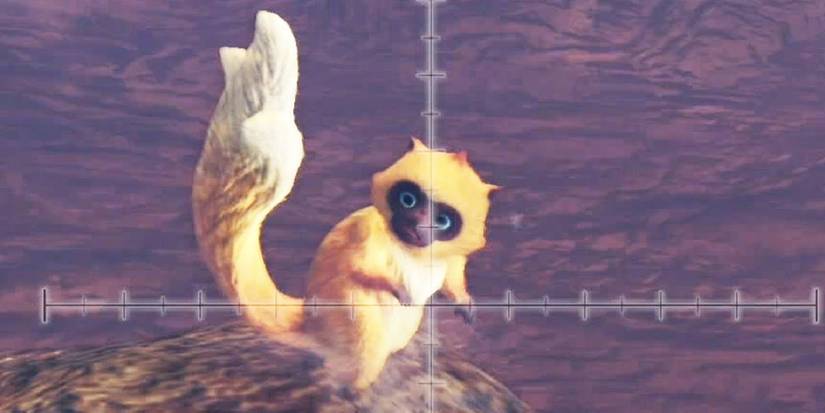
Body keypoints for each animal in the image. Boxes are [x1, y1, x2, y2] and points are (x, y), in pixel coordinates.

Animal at [192, 11, 497, 390]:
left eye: (441, 220)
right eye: (408, 200)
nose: (417, 225)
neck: (411, 251)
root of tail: (310, 323)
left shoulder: (449, 258)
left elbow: (453, 278)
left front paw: (464, 303)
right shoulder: (364, 238)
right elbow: (361, 271)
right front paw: (398, 290)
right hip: (361, 327)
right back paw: (355, 388)